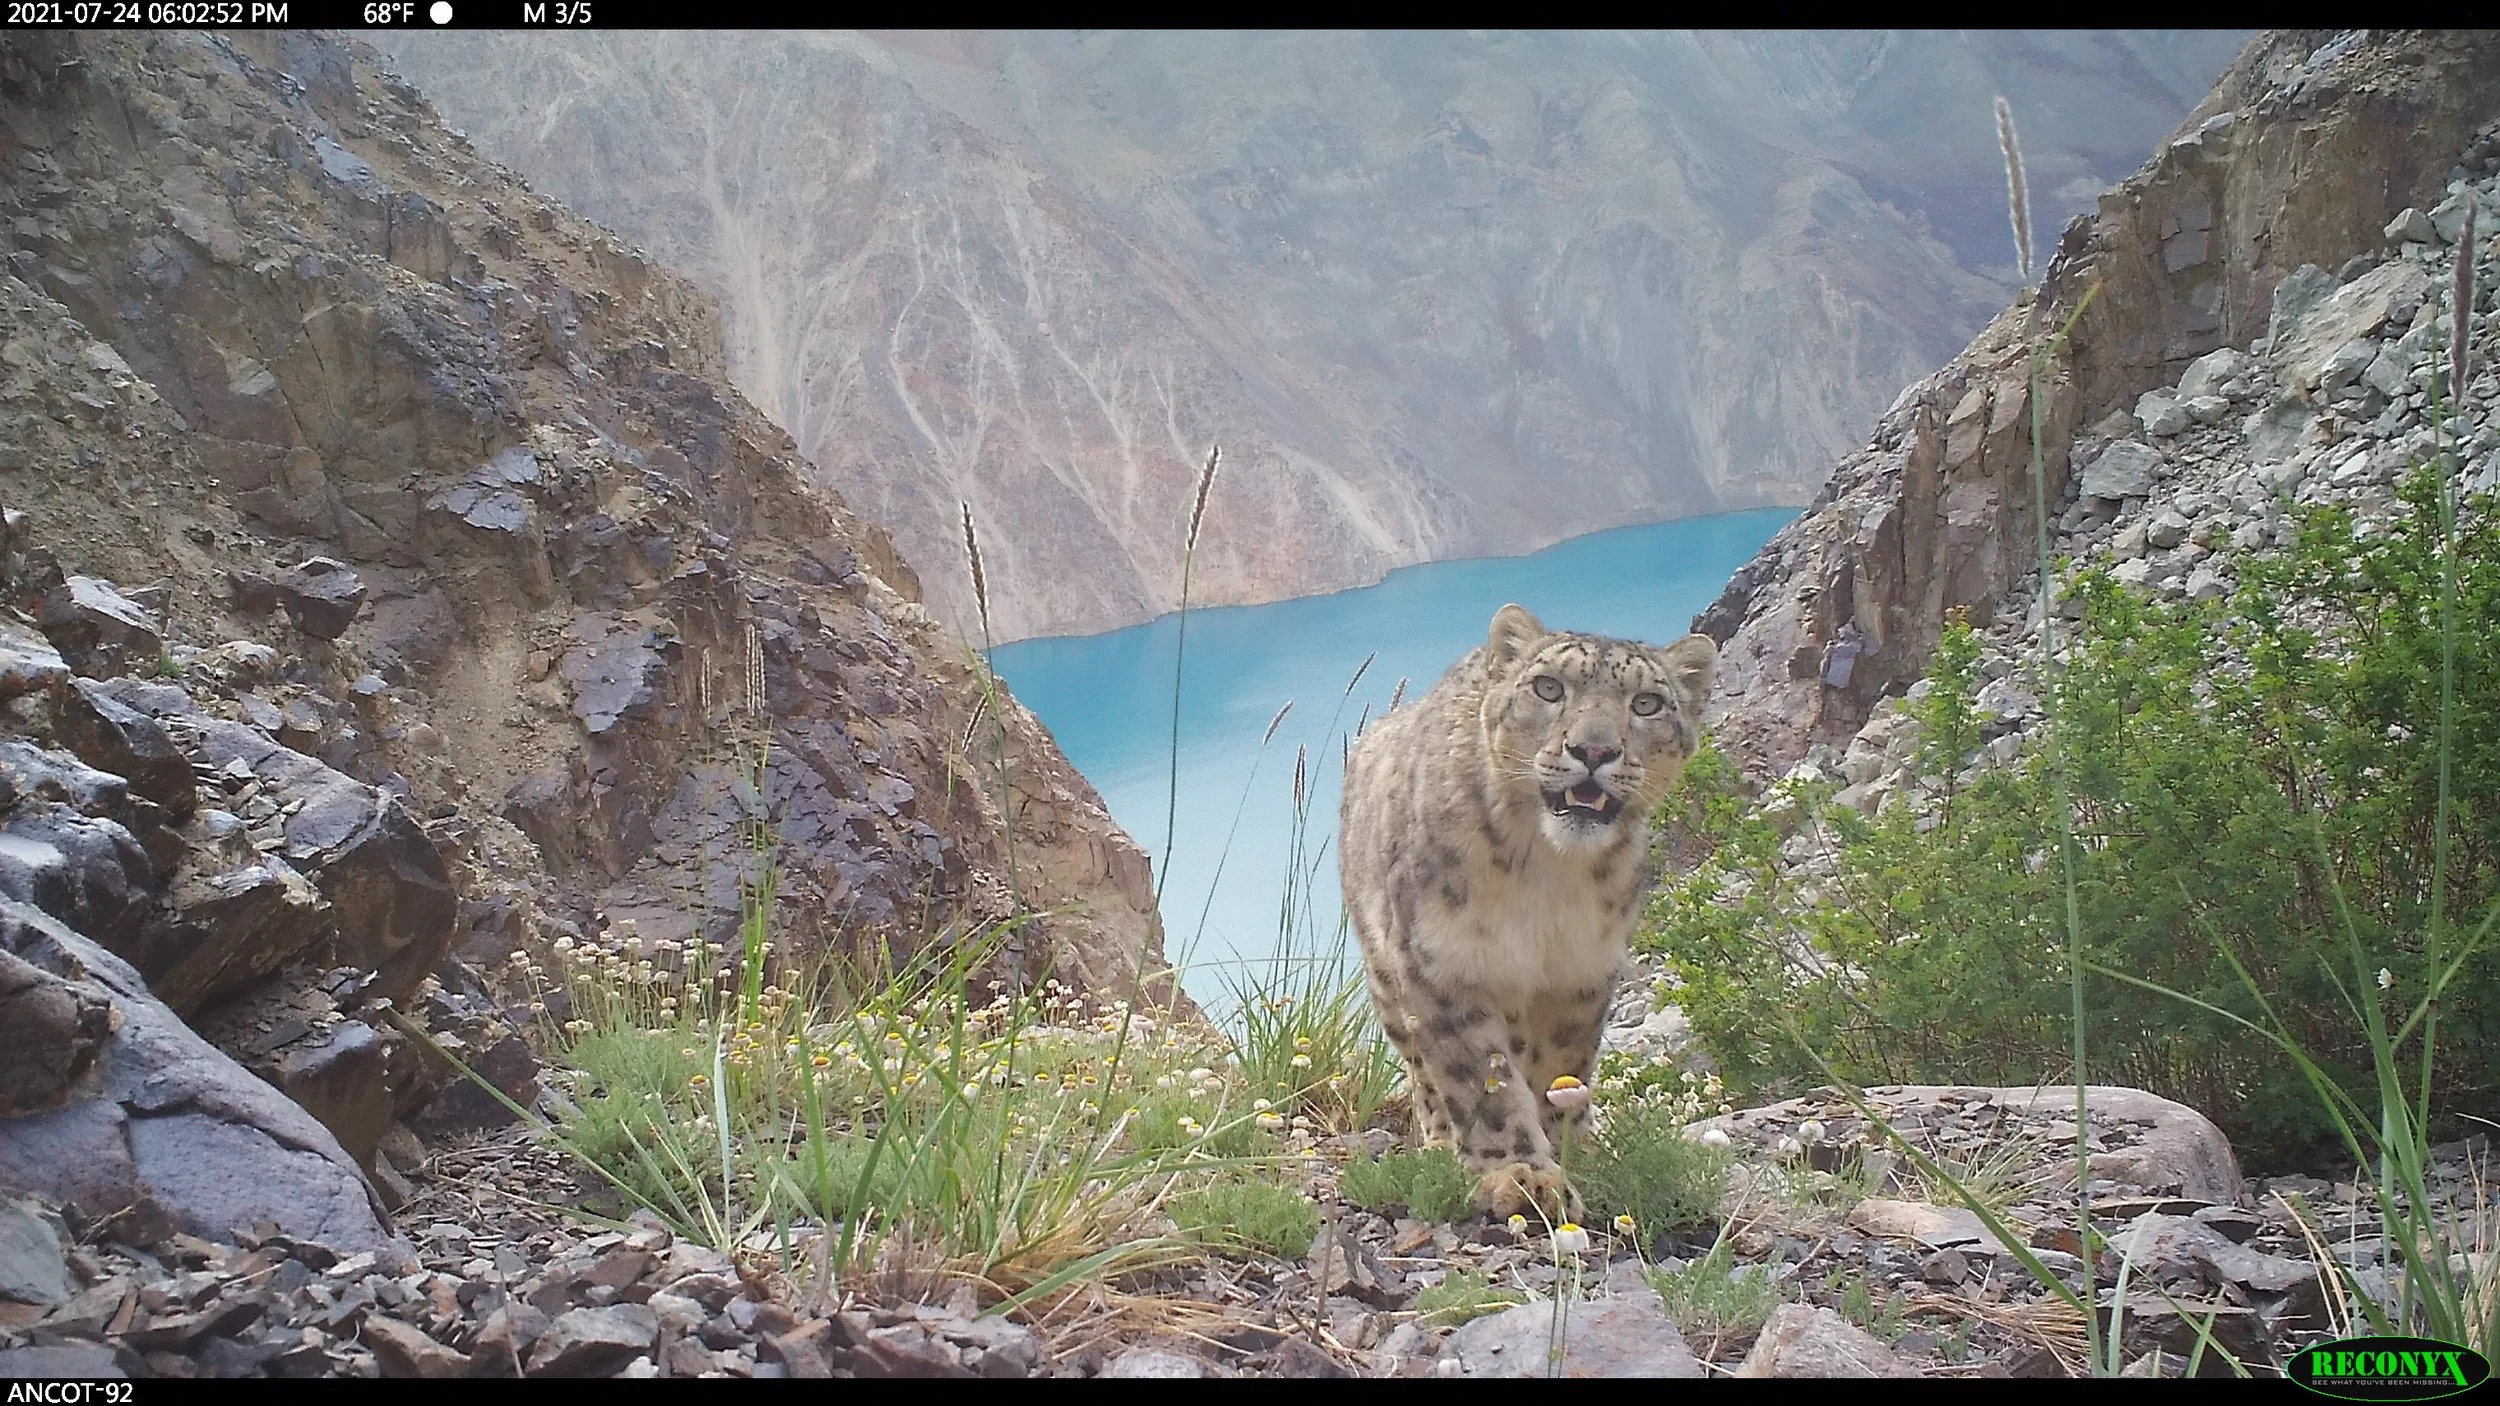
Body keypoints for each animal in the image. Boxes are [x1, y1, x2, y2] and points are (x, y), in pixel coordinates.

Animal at [1339, 602, 1717, 1220]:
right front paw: (1518, 1174)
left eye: (1647, 703)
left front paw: (1568, 1149)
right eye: (1548, 688)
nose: (1593, 751)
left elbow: (1561, 1067)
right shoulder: (1444, 964)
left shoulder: (1582, 971)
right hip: (1387, 975)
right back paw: (1440, 1142)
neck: (1547, 875)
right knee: (1422, 1071)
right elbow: (1481, 1080)